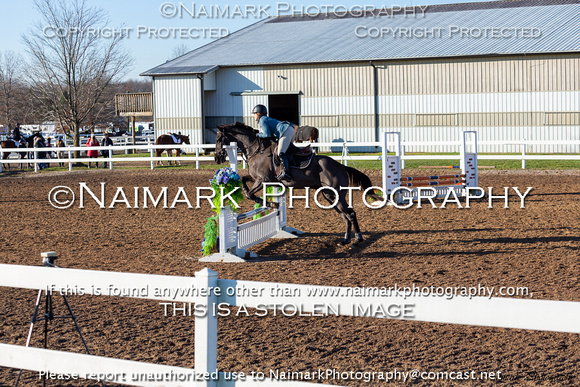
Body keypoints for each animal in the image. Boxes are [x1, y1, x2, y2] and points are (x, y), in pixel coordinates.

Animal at [213, 123, 380, 247]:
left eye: (219, 138)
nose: (216, 158)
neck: (257, 150)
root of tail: (341, 166)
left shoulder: (262, 179)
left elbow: (249, 194)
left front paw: (271, 203)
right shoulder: (257, 178)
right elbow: (243, 181)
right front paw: (271, 203)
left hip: (335, 195)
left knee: (350, 214)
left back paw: (357, 239)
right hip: (329, 196)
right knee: (345, 216)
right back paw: (345, 240)